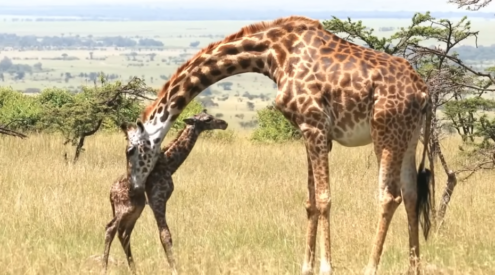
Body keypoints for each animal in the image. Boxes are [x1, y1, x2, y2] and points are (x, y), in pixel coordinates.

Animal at [103, 110, 231, 275]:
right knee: (111, 228)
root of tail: (111, 193)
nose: (224, 123)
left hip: (135, 209)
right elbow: (165, 235)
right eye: (208, 119)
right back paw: (103, 267)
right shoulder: (158, 199)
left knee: (124, 233)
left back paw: (133, 269)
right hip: (124, 208)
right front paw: (175, 269)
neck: (170, 164)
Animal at [124, 15, 434, 275]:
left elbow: (324, 199)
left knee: (388, 196)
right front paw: (306, 267)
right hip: (409, 136)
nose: (135, 187)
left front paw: (326, 268)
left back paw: (370, 268)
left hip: (385, 132)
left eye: (130, 151)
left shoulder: (315, 124)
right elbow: (311, 201)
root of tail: (423, 90)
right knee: (411, 194)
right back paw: (414, 268)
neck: (272, 54)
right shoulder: (309, 131)